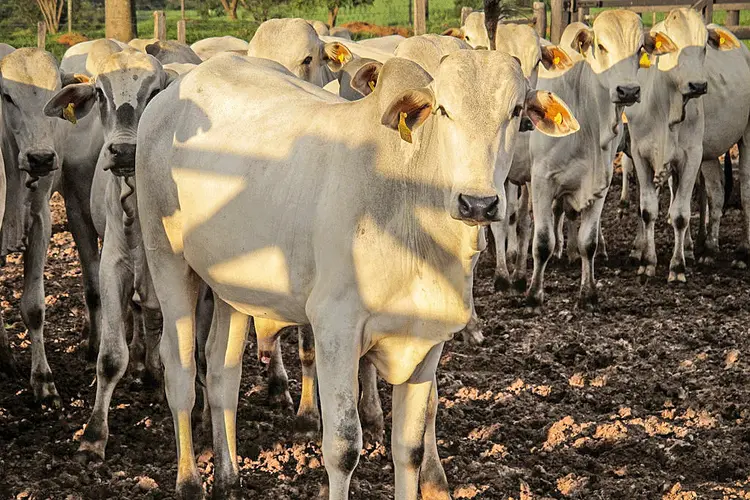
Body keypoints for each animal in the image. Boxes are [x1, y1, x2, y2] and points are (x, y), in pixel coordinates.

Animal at [137, 51, 580, 500]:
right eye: (442, 109)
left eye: (516, 111)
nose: (477, 203)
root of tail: (175, 90)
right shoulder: (336, 330)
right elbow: (343, 448)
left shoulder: (427, 341)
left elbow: (410, 448)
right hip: (166, 258)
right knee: (181, 369)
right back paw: (190, 481)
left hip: (232, 286)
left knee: (222, 372)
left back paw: (228, 479)